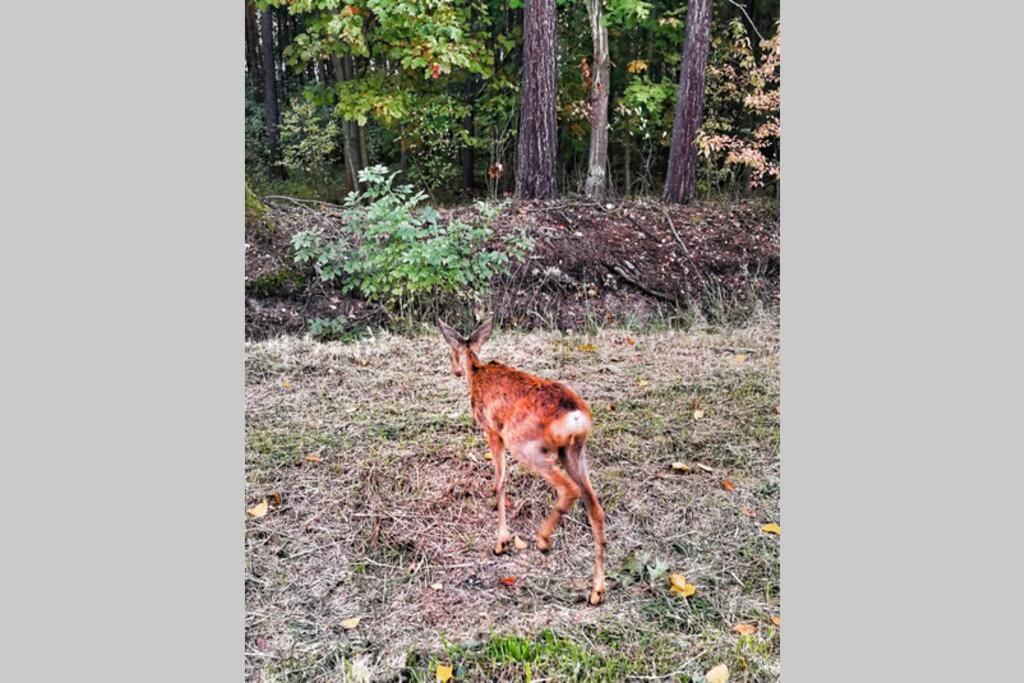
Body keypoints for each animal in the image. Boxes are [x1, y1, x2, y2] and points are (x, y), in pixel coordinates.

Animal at [436, 315, 602, 602]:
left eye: (450, 353)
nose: (454, 370)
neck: (476, 372)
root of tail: (575, 417)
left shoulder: (492, 431)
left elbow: (500, 481)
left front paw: (501, 541)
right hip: (574, 451)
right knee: (595, 508)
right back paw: (597, 591)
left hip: (524, 444)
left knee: (568, 488)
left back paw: (543, 541)